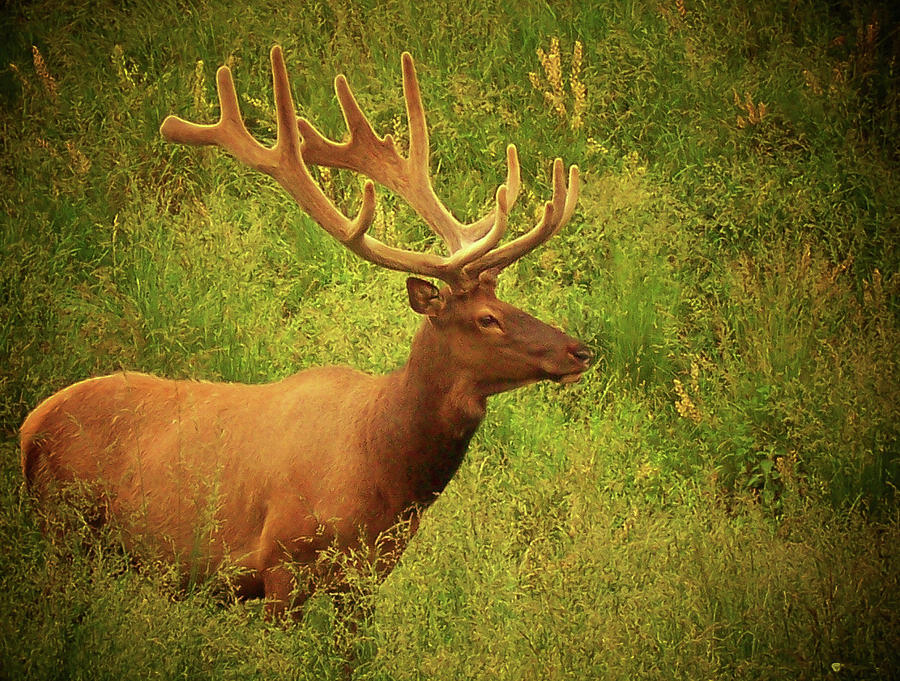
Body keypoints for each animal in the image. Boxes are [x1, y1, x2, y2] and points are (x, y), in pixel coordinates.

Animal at [19, 45, 592, 612]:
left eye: (507, 301)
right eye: (486, 319)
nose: (580, 351)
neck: (383, 473)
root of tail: (29, 427)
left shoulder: (367, 579)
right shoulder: (279, 562)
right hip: (66, 526)